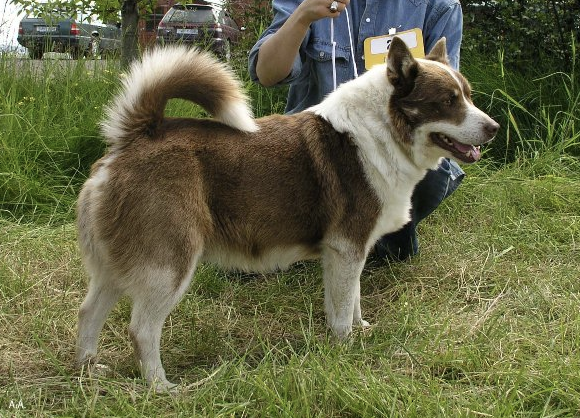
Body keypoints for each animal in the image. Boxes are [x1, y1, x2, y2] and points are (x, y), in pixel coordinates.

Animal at [73, 35, 498, 388]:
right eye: (448, 101)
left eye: (468, 95)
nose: (493, 127)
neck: (382, 131)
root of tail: (137, 136)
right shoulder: (346, 249)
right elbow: (341, 312)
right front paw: (346, 351)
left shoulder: (350, 252)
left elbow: (353, 301)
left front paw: (361, 332)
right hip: (169, 265)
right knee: (142, 330)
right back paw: (161, 388)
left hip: (117, 265)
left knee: (87, 313)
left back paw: (87, 372)